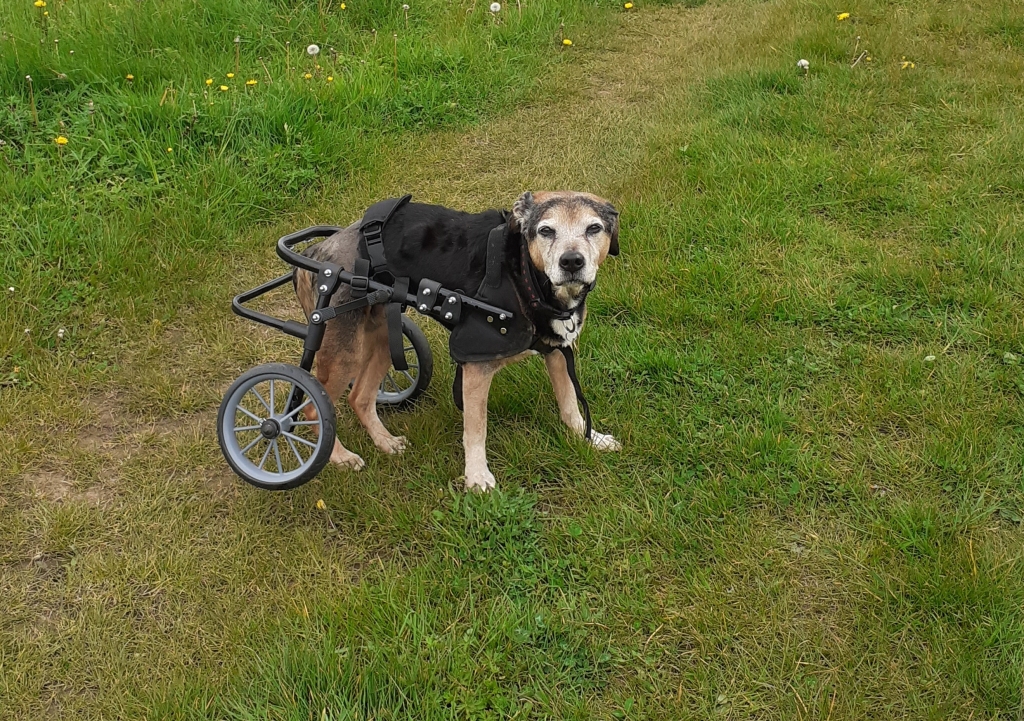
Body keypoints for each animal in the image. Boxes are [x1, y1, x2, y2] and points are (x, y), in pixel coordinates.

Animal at [292, 188, 618, 493]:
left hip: (385, 336)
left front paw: (589, 438)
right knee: (311, 408)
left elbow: (570, 405)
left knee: (359, 397)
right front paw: (477, 478)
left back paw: (385, 442)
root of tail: (318, 250)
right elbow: (476, 431)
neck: (524, 274)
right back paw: (340, 457)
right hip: (345, 351)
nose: (572, 262)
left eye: (594, 228)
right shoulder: (475, 370)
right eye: (546, 230)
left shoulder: (558, 350)